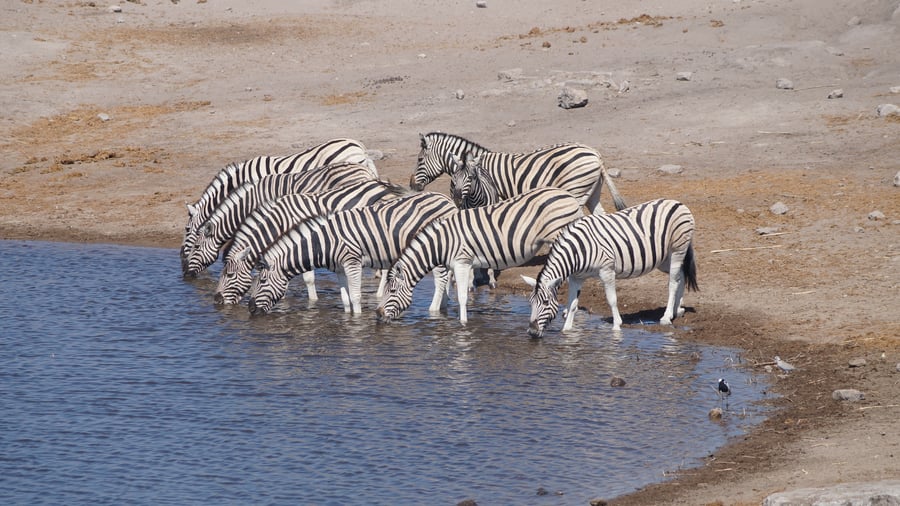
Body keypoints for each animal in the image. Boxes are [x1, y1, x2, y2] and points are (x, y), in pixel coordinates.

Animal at [213, 179, 409, 305]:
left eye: (229, 275)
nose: (216, 300)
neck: (280, 221)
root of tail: (384, 185)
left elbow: (307, 277)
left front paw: (313, 300)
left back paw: (378, 294)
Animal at [247, 192, 457, 315]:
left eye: (262, 281)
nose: (250, 308)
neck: (325, 242)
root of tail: (447, 199)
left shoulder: (352, 262)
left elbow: (355, 296)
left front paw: (356, 322)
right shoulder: (340, 268)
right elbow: (345, 299)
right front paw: (348, 318)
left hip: (433, 248)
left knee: (440, 280)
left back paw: (433, 310)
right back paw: (444, 306)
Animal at [375, 187, 584, 324]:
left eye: (391, 291)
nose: (377, 314)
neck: (442, 242)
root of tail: (569, 196)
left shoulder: (462, 262)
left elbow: (462, 296)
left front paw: (463, 324)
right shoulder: (454, 265)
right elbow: (446, 290)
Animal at [521, 198, 698, 336]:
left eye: (545, 302)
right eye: (530, 302)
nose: (532, 332)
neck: (578, 251)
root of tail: (677, 202)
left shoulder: (607, 271)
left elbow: (612, 300)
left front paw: (616, 326)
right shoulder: (576, 277)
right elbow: (572, 304)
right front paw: (567, 330)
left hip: (677, 250)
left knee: (673, 282)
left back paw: (666, 317)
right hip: (664, 259)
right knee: (681, 277)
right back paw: (677, 310)